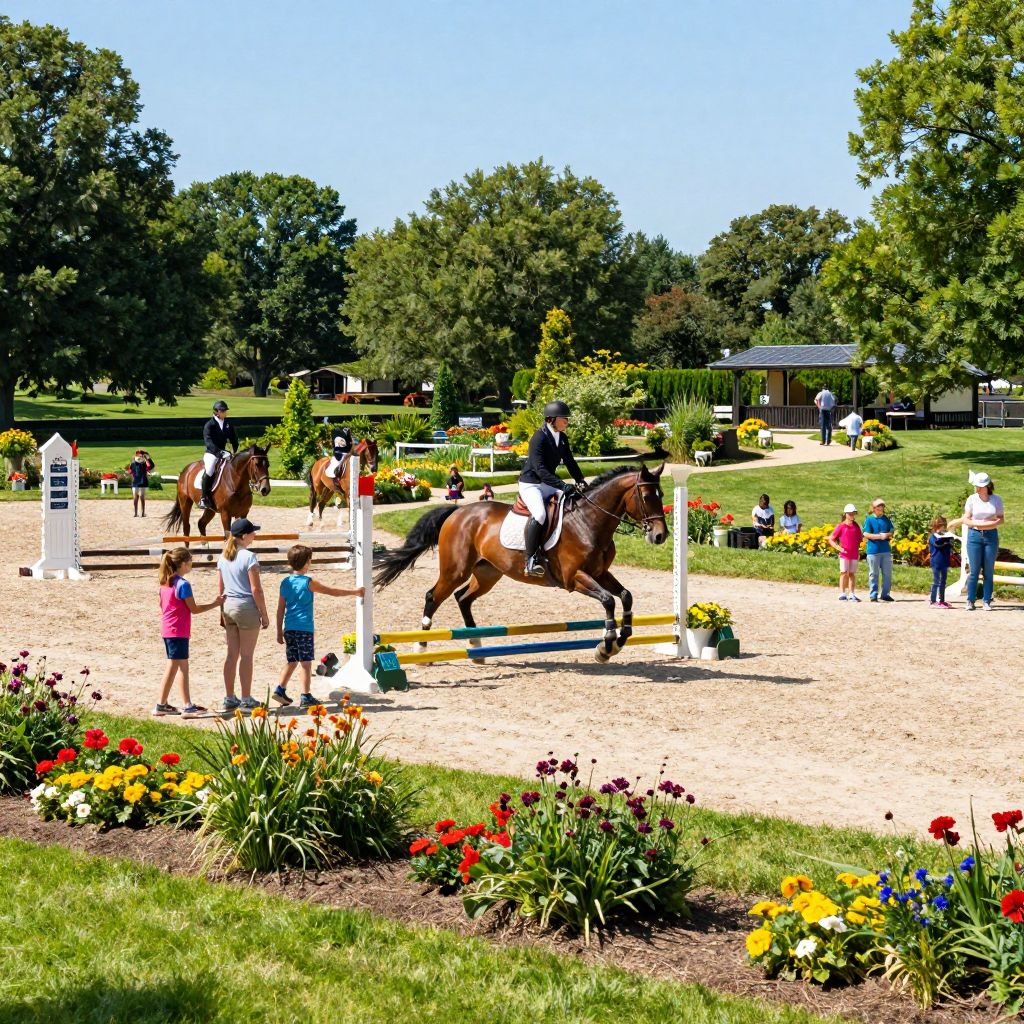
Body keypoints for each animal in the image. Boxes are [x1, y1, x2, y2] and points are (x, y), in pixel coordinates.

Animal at [374, 463, 669, 662]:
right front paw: (606, 646)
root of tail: (458, 512)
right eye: (646, 497)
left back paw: (476, 647)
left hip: (488, 573)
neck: (589, 521)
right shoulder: (575, 577)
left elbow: (626, 596)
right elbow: (608, 601)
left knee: (463, 598)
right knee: (433, 596)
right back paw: (421, 647)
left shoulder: (600, 572)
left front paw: (621, 638)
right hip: (455, 570)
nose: (660, 536)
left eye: (662, 496)